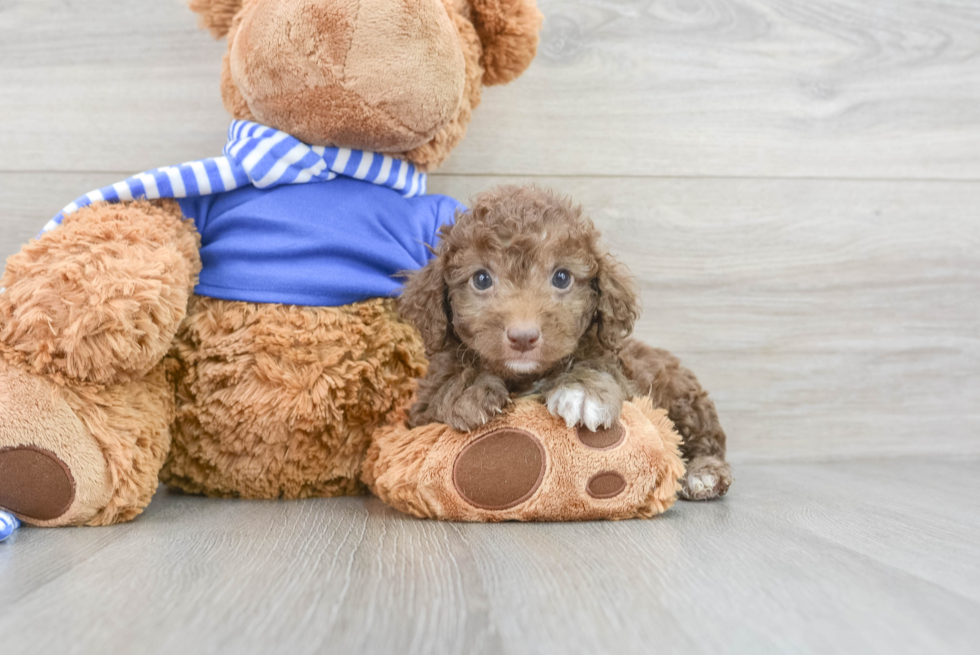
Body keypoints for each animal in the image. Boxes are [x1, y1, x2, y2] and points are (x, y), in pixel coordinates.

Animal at [402, 182, 732, 500]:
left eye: (562, 278)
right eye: (481, 279)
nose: (523, 337)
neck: (526, 377)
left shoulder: (624, 375)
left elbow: (598, 368)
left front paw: (582, 390)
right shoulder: (420, 412)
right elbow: (443, 386)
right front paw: (468, 391)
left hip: (683, 398)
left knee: (706, 440)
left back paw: (705, 474)